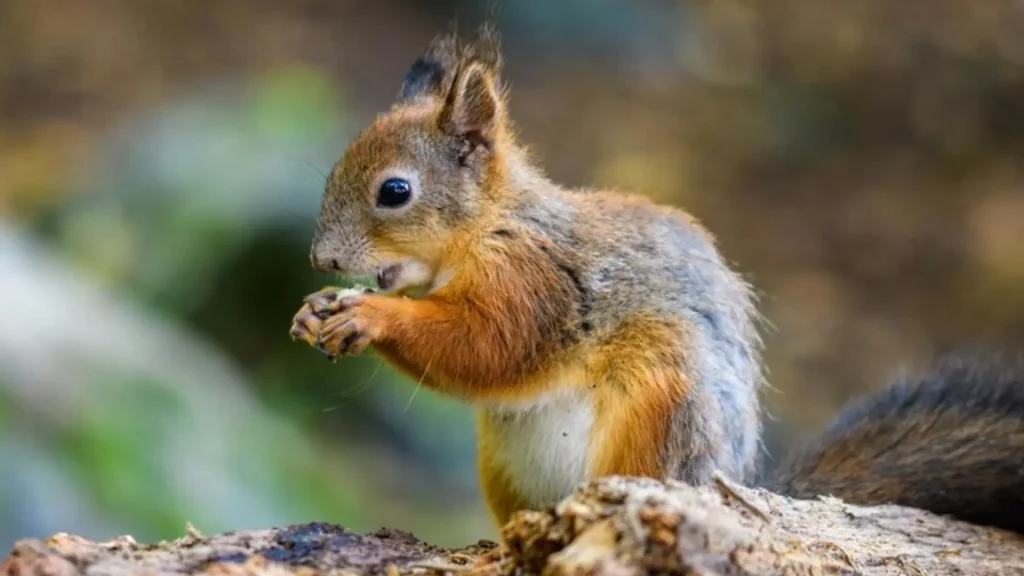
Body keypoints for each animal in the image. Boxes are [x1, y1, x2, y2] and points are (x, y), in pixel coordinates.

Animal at [289, 27, 1024, 534]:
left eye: (395, 192)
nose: (322, 260)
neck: (490, 226)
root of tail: (727, 487)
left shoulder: (537, 280)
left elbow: (490, 346)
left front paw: (369, 315)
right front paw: (313, 310)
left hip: (660, 403)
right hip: (503, 464)